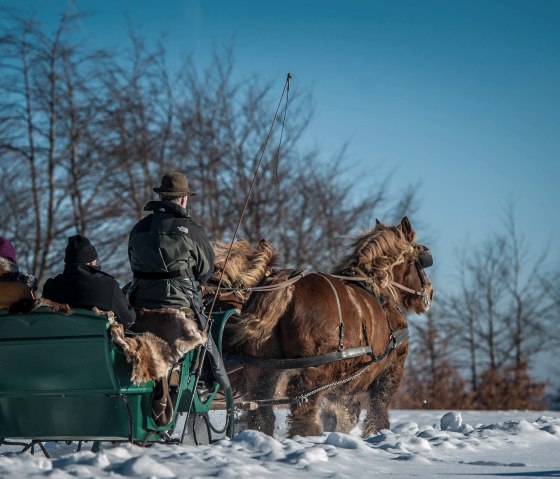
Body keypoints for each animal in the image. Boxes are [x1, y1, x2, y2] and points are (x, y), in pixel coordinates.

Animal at [228, 218, 434, 438]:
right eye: (420, 261)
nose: (430, 291)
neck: (378, 288)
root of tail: (285, 281)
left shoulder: (346, 383)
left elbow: (343, 411)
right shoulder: (391, 369)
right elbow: (377, 408)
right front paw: (376, 433)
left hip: (261, 364)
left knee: (261, 406)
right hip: (320, 366)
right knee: (302, 397)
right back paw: (307, 433)